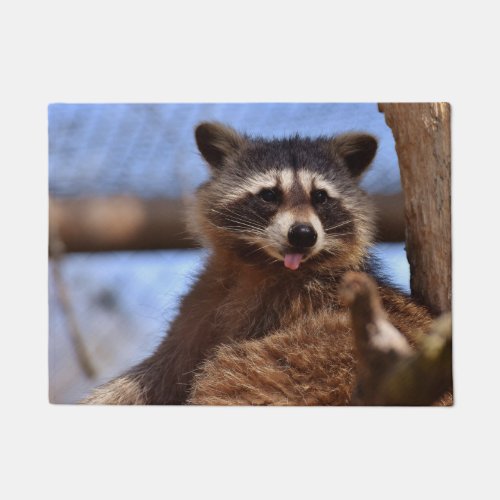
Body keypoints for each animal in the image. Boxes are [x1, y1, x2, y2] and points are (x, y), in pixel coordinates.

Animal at [83, 122, 434, 406]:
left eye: (320, 197)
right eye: (269, 195)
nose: (303, 235)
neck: (261, 263)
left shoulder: (303, 306)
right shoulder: (207, 299)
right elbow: (164, 368)